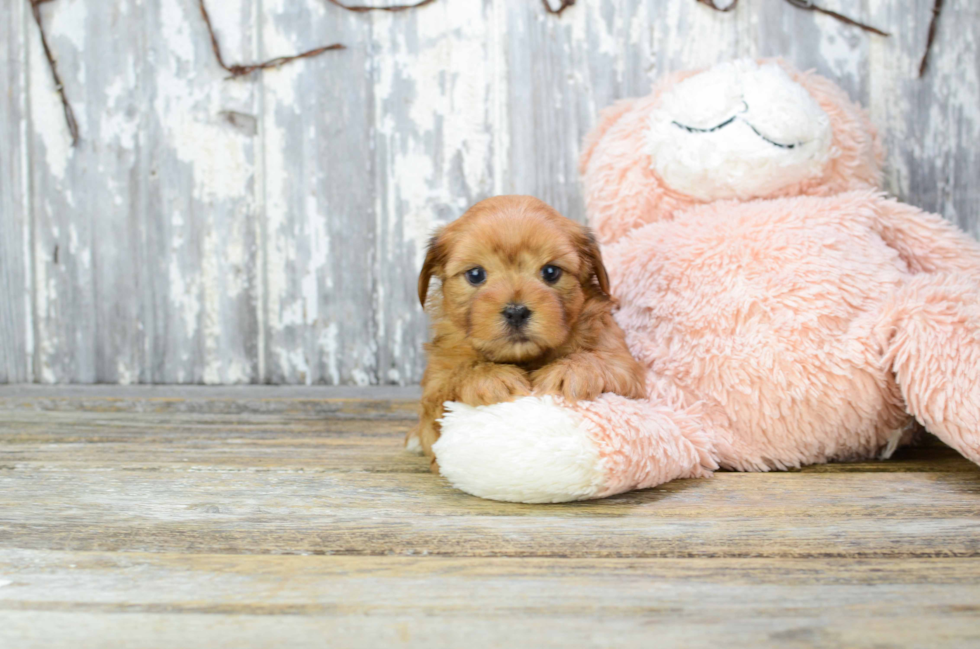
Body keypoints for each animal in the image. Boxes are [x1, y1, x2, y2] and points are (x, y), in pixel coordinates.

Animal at [408, 192, 648, 466]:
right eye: (476, 274)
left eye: (551, 271)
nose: (516, 312)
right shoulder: (434, 388)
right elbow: (455, 378)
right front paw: (489, 377)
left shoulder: (624, 366)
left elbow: (601, 361)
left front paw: (572, 370)